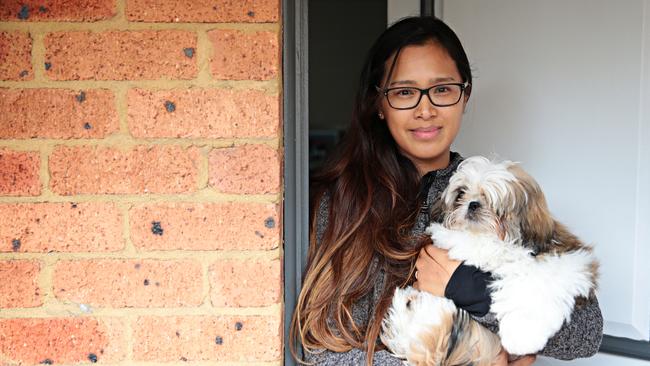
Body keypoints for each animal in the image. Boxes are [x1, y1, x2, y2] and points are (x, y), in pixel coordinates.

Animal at [380, 156, 596, 364]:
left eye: (493, 201)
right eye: (461, 194)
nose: (473, 204)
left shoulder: (570, 260)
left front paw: (523, 333)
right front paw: (449, 236)